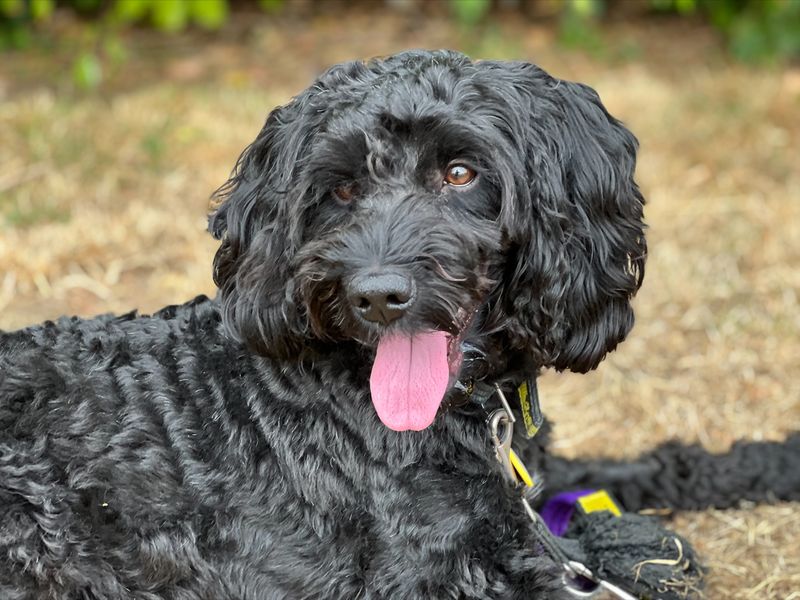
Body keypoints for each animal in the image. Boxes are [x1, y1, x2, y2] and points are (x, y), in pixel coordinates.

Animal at [1, 51, 800, 600]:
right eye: (342, 188)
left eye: (460, 173)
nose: (377, 295)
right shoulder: (435, 579)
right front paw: (636, 545)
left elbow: (653, 467)